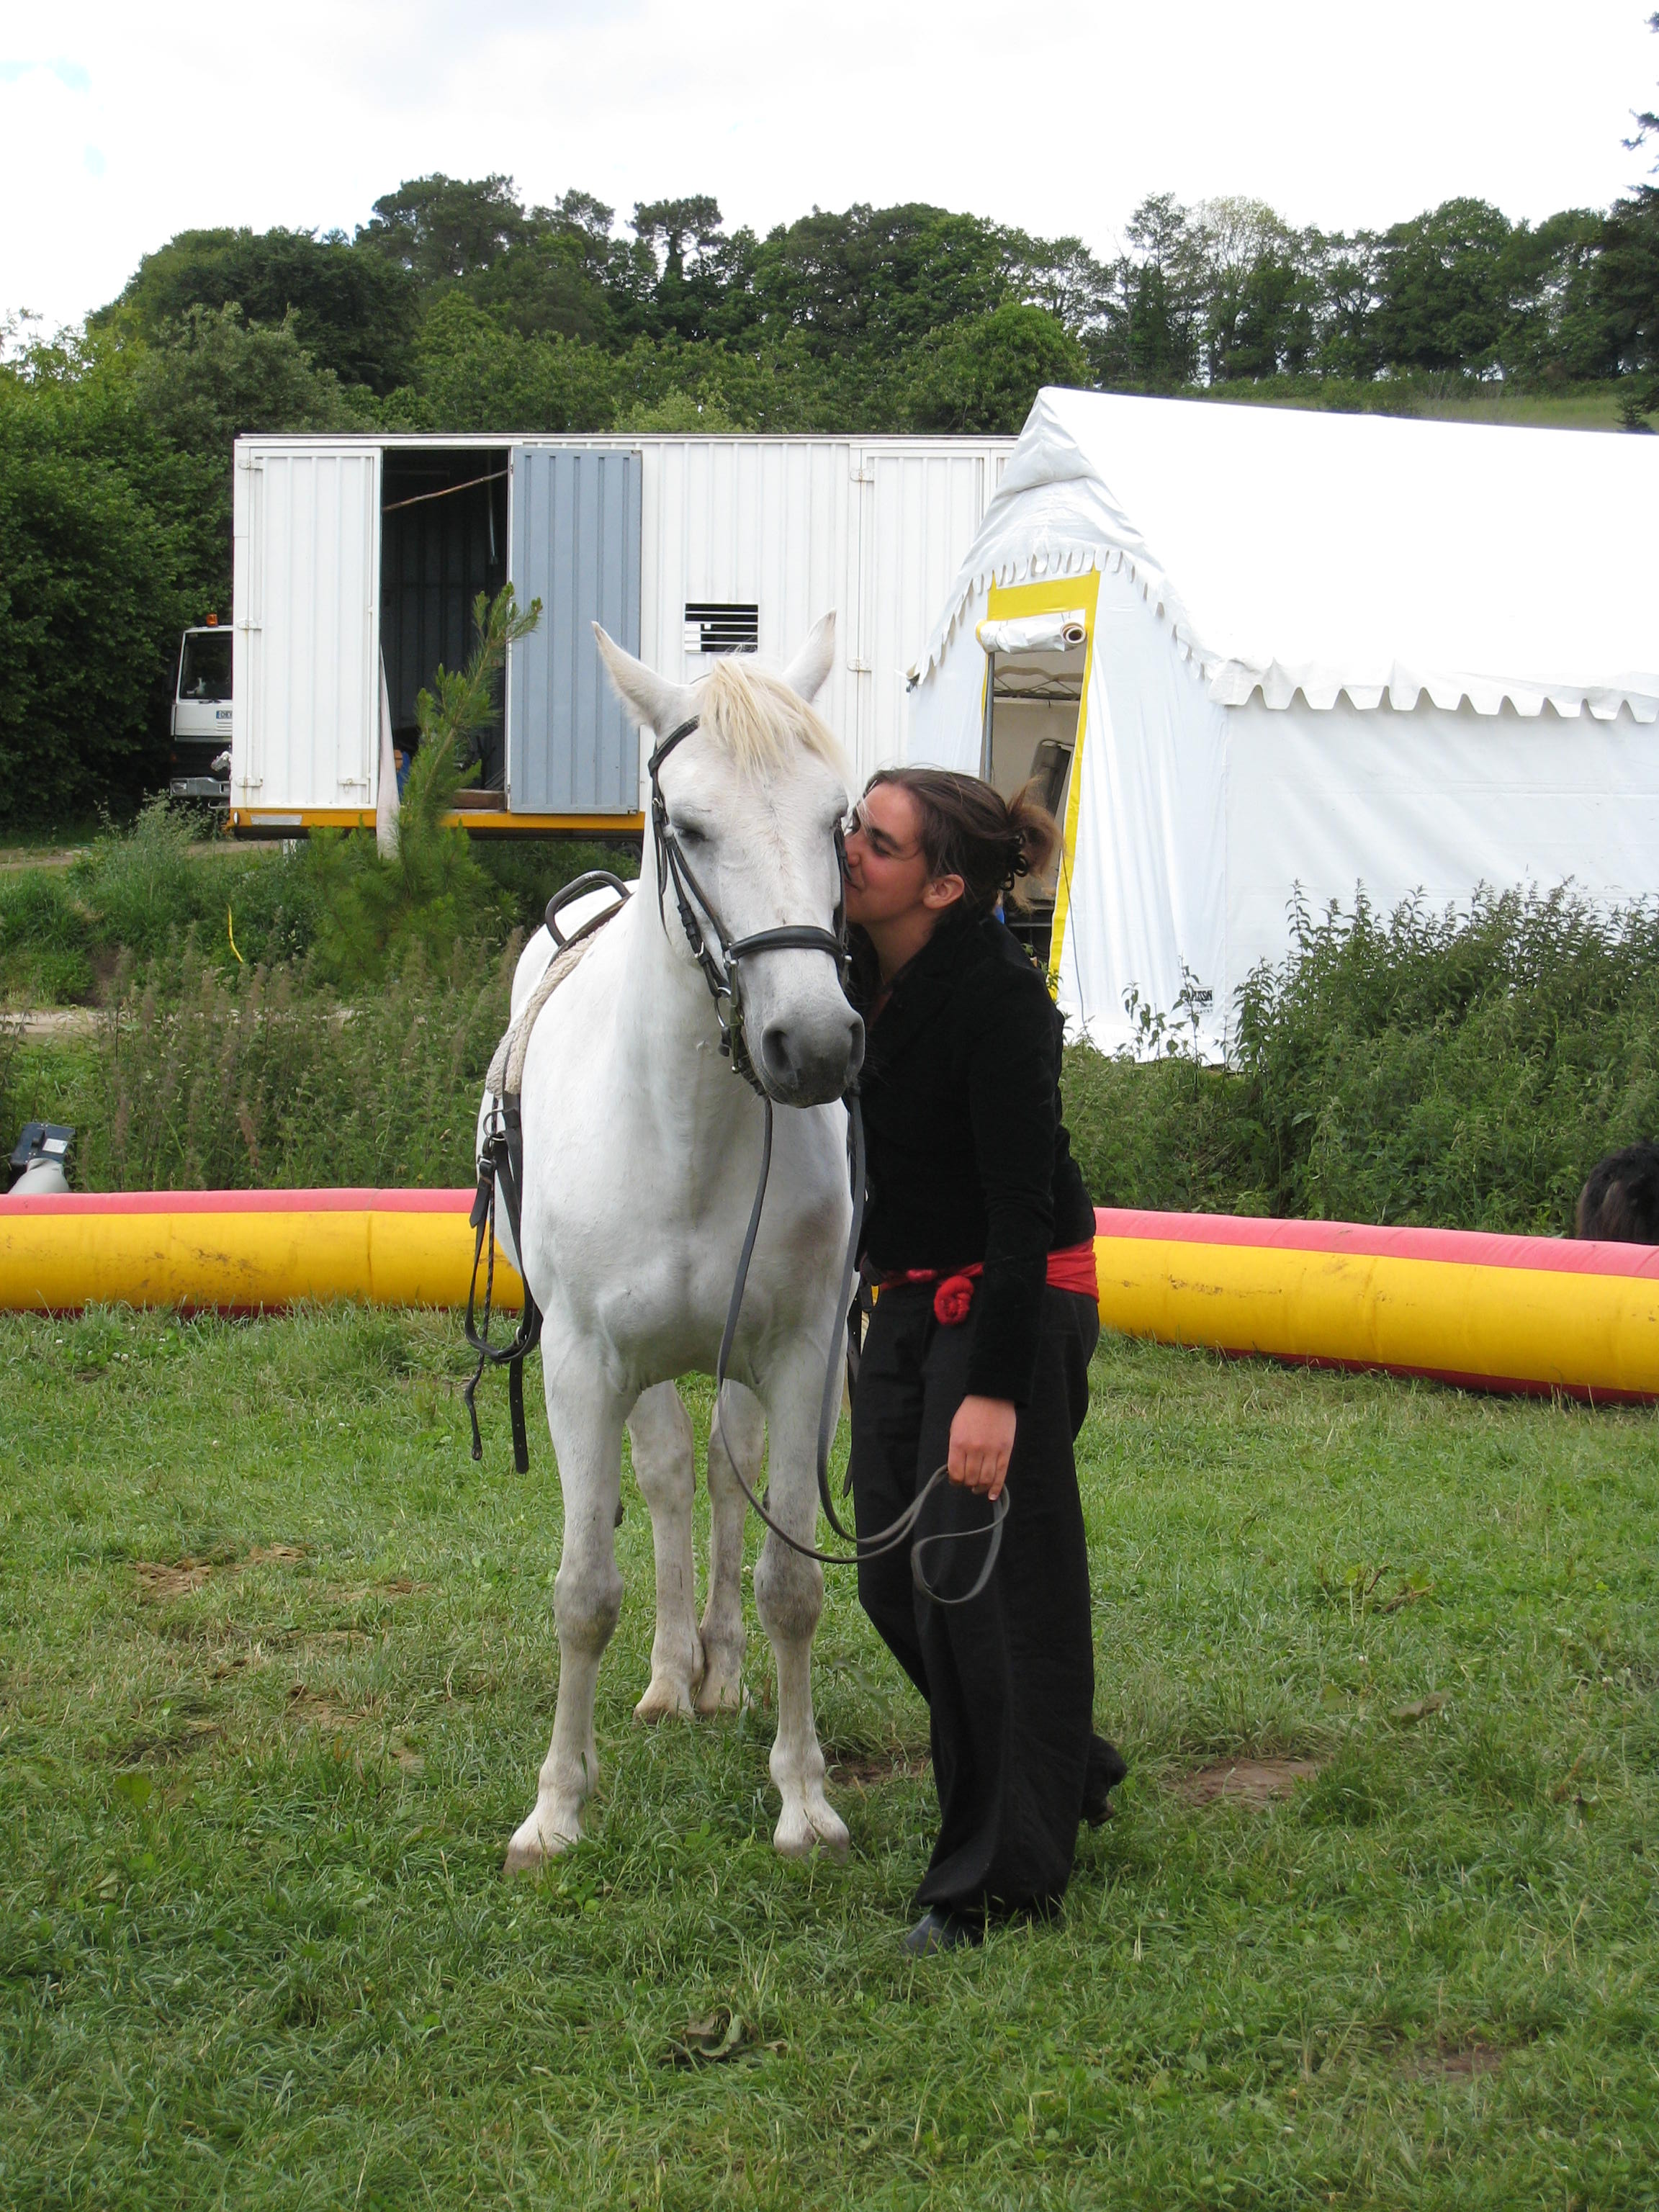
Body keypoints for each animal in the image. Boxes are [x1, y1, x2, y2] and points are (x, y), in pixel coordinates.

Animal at [482, 616, 865, 1872]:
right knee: (660, 1486)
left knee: (724, 1475)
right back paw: (664, 1676)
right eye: (688, 827)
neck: (685, 1130)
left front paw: (802, 1797)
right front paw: (556, 1808)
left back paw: (718, 1672)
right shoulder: (583, 1367)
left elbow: (791, 1579)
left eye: (838, 820)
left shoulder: (802, 1358)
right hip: (638, 1371)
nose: (815, 1044)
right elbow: (583, 1591)